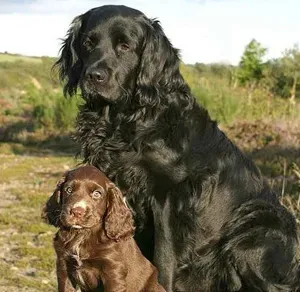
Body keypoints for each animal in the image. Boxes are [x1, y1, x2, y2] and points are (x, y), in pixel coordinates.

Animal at [55, 5, 298, 292]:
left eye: (125, 46)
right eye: (88, 43)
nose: (93, 76)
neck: (130, 118)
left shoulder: (168, 196)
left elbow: (163, 257)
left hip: (252, 229)